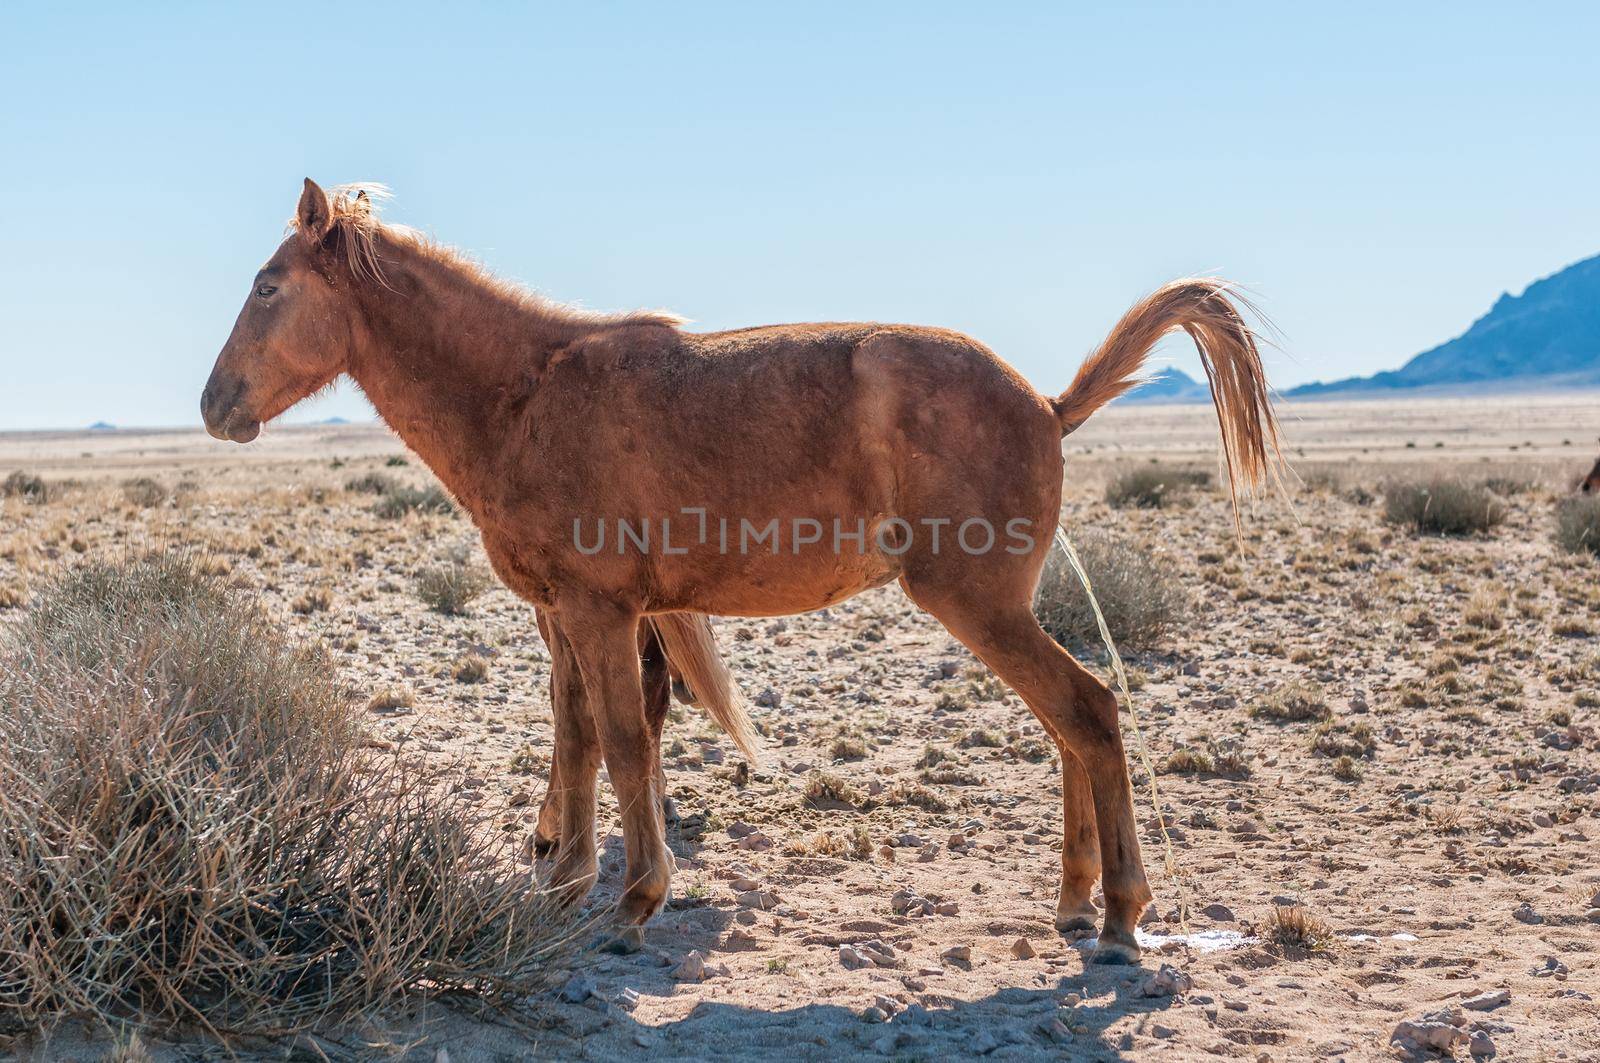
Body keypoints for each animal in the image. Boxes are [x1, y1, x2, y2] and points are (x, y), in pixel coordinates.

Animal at [203, 178, 1273, 960]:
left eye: (266, 286)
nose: (215, 405)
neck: (527, 395)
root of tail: (1047, 402)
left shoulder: (598, 611)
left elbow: (623, 743)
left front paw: (633, 899)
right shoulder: (567, 613)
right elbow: (576, 738)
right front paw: (563, 882)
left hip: (977, 603)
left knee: (1087, 711)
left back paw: (1122, 912)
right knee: (1067, 725)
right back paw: (1074, 902)